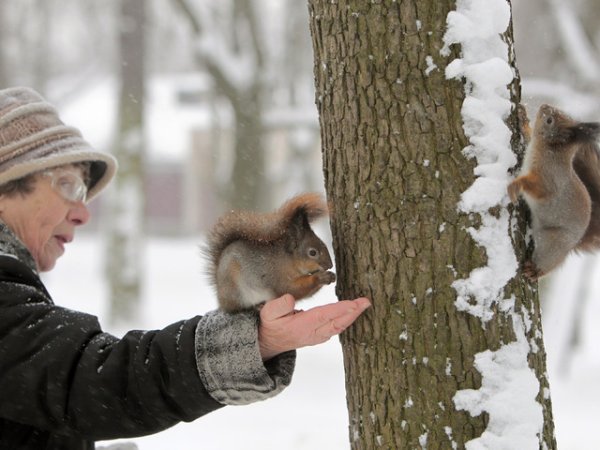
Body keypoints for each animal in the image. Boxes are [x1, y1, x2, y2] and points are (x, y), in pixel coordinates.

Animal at [205, 192, 338, 312]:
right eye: (312, 252)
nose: (330, 265)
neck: (289, 260)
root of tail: (221, 297)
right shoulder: (278, 277)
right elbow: (291, 290)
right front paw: (320, 277)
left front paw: (331, 276)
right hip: (237, 291)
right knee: (238, 308)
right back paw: (256, 306)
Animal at [506, 104, 600, 280]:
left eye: (549, 121)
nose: (544, 106)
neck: (549, 150)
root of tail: (575, 242)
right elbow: (528, 136)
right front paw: (522, 117)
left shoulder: (550, 179)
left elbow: (539, 189)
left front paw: (515, 185)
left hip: (551, 243)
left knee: (548, 264)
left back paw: (533, 271)